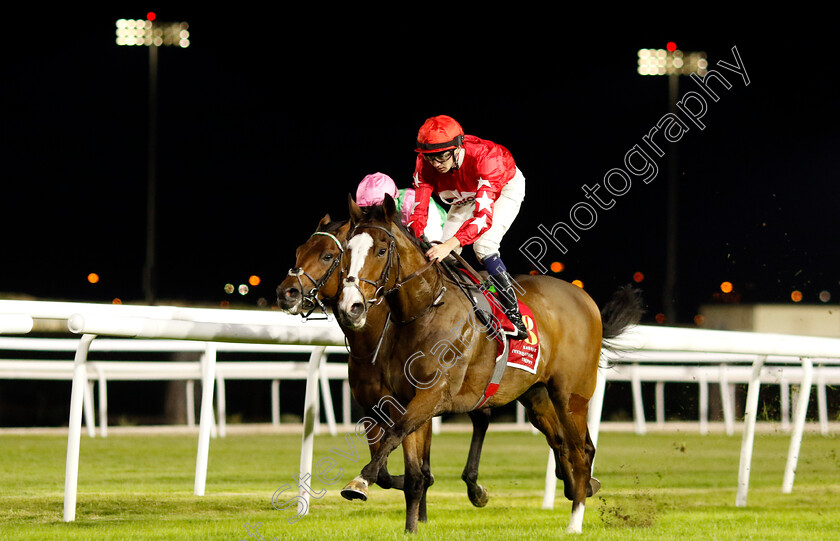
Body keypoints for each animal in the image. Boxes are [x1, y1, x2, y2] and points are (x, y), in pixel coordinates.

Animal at [276, 211, 496, 516]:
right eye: (299, 251)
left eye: (328, 256)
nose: (286, 293)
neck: (375, 340)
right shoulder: (372, 406)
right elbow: (386, 472)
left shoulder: (409, 399)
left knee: (482, 416)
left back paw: (474, 487)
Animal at [334, 194, 644, 532]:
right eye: (345, 251)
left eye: (380, 250)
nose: (350, 306)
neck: (426, 309)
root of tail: (585, 299)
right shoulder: (404, 399)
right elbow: (411, 468)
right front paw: (411, 528)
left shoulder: (433, 395)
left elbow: (396, 435)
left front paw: (360, 482)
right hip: (537, 397)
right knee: (565, 443)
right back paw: (582, 486)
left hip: (571, 395)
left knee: (581, 451)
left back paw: (575, 521)